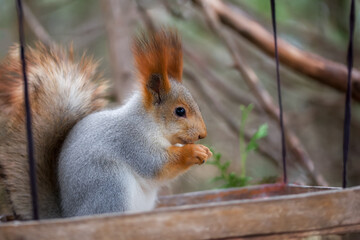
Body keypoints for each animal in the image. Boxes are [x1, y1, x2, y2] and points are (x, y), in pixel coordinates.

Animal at [0, 29, 211, 219]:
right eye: (180, 111)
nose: (203, 134)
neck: (148, 123)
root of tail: (69, 216)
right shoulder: (130, 141)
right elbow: (156, 166)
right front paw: (193, 151)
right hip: (109, 185)